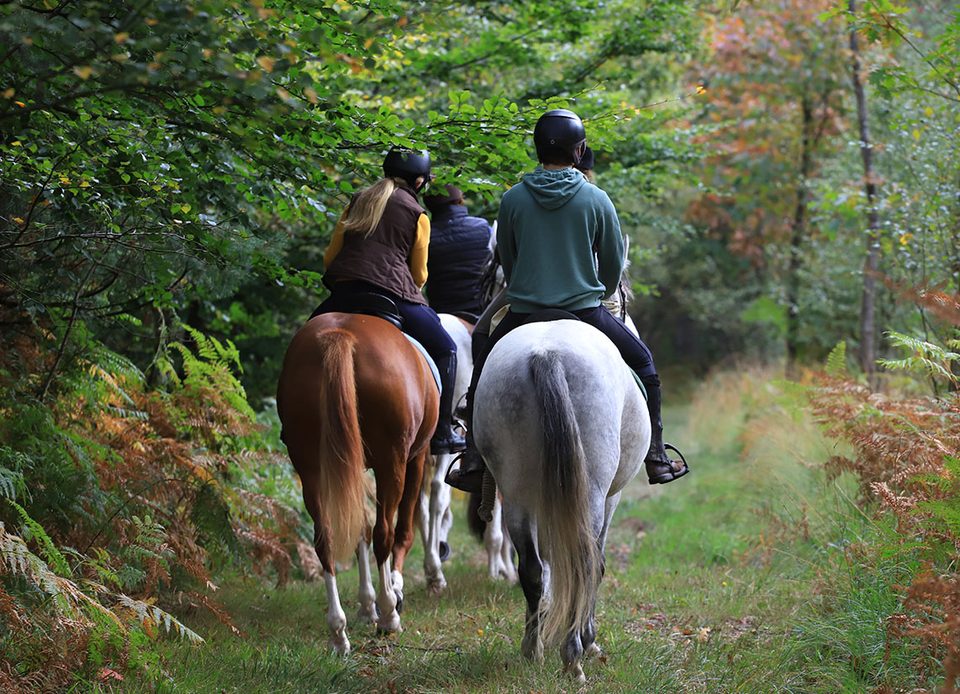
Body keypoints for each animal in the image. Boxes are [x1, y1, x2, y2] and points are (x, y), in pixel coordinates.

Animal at [276, 312, 438, 654]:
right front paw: (392, 595)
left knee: (326, 538)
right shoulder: (416, 457)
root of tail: (341, 335)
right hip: (393, 461)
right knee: (384, 533)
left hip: (311, 465)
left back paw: (338, 632)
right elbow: (402, 529)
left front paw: (366, 605)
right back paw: (389, 614)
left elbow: (358, 527)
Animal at [472, 319, 651, 681]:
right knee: (583, 564)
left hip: (516, 492)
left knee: (532, 569)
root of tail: (546, 354)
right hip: (591, 495)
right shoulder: (611, 498)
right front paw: (589, 639)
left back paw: (533, 649)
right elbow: (597, 564)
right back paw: (573, 656)